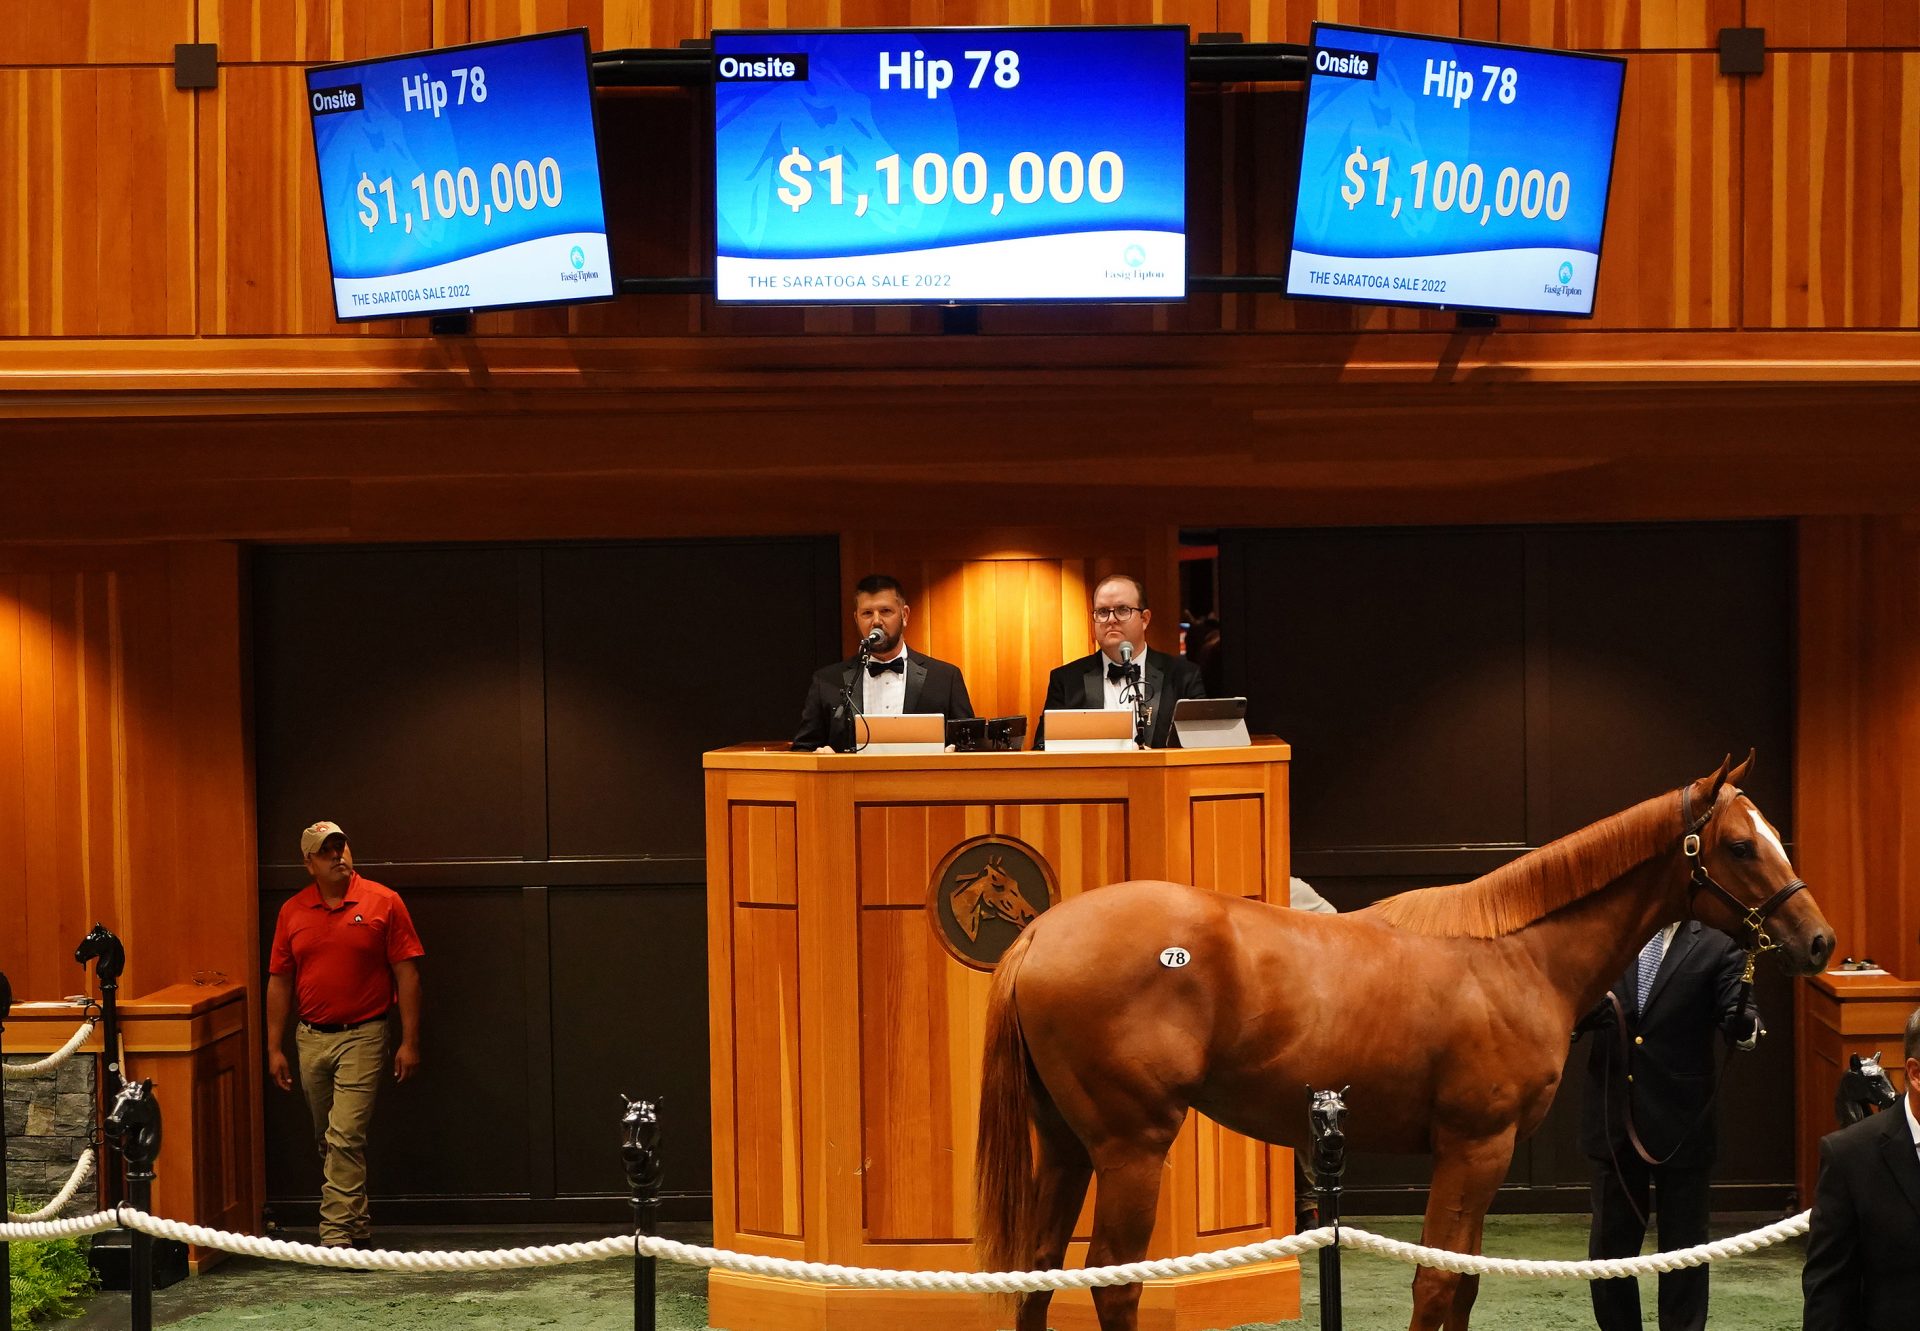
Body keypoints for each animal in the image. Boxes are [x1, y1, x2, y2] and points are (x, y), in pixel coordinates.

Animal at [983, 756, 1835, 1329]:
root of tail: (1038, 935)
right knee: (1114, 1280)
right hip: (1132, 1148)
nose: (1819, 940)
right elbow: (1437, 1282)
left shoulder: (1483, 1157)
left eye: (1773, 836)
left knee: (1036, 1271)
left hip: (1065, 1146)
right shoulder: (1474, 1147)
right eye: (1740, 846)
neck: (1515, 953)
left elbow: (1464, 1280)